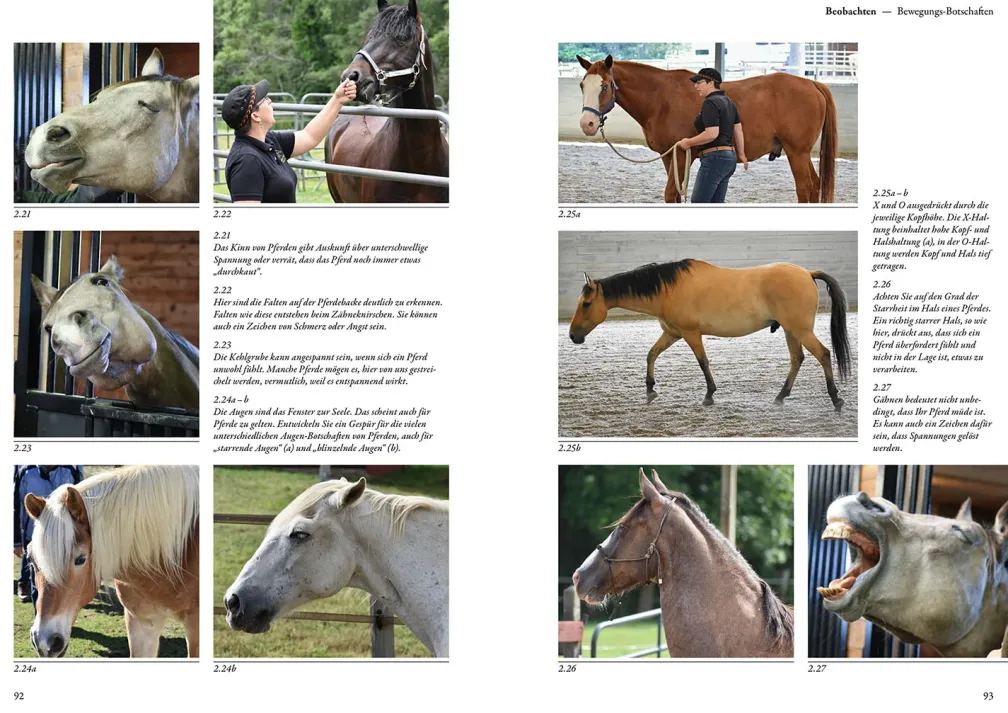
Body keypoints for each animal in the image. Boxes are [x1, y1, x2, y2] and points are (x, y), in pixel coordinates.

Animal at [568, 259, 850, 412]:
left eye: (586, 304)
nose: (572, 336)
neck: (668, 289)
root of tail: (807, 273)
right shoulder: (672, 333)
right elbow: (651, 354)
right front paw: (649, 389)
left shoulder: (691, 333)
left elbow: (702, 362)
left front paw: (709, 395)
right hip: (791, 331)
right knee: (797, 359)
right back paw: (780, 397)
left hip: (800, 330)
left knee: (823, 354)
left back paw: (836, 398)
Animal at [576, 55, 837, 203]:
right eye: (582, 85)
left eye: (604, 86)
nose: (587, 124)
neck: (661, 98)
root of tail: (812, 83)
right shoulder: (669, 156)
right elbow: (675, 195)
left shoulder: (682, 154)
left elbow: (671, 193)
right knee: (815, 188)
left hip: (797, 153)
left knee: (806, 189)